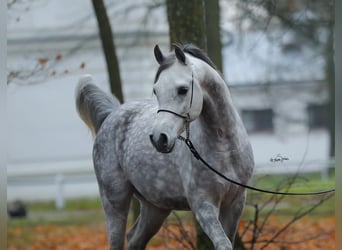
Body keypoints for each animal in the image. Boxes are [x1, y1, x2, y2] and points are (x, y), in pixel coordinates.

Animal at [77, 44, 254, 249]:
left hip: (155, 208)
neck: (225, 149)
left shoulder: (235, 203)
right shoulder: (203, 205)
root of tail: (111, 114)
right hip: (115, 202)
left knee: (134, 238)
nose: (158, 138)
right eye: (156, 90)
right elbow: (223, 244)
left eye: (183, 89)